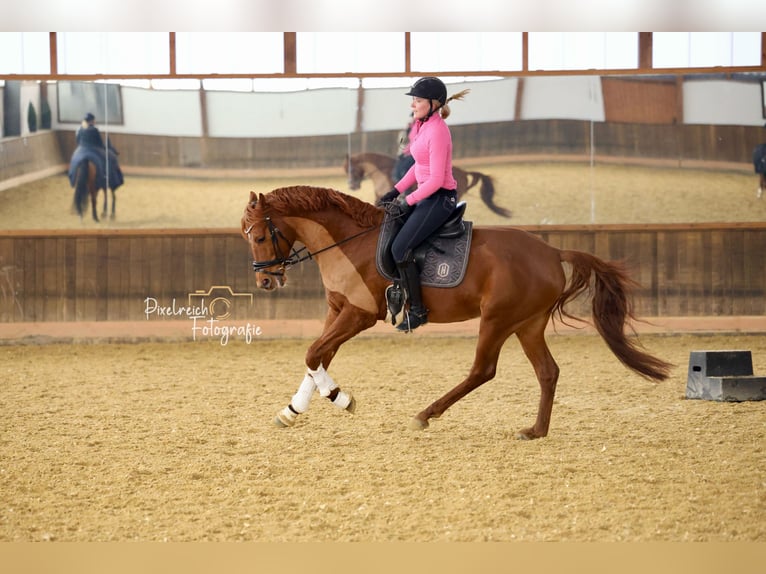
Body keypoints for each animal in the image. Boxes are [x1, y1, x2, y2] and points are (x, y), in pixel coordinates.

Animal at [240, 187, 672, 438]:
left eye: (260, 236)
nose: (265, 281)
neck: (351, 242)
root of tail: (552, 252)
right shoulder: (338, 310)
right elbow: (318, 355)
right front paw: (292, 410)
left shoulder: (359, 315)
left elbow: (314, 353)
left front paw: (339, 398)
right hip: (527, 324)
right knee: (548, 372)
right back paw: (536, 431)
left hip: (497, 319)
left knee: (483, 370)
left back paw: (425, 415)